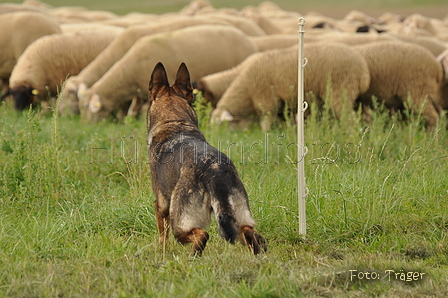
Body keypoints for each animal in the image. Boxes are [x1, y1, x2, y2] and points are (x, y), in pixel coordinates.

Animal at [147, 62, 266, 256]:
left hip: (180, 222)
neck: (174, 122)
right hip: (237, 215)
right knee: (249, 231)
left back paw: (193, 257)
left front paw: (162, 252)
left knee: (201, 235)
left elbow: (162, 237)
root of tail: (215, 171)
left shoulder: (161, 205)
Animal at [212, 42, 370, 131]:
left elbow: (266, 120)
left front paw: (265, 133)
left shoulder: (266, 97)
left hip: (341, 89)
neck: (246, 91)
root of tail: (363, 68)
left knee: (348, 117)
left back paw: (348, 134)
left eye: (220, 125)